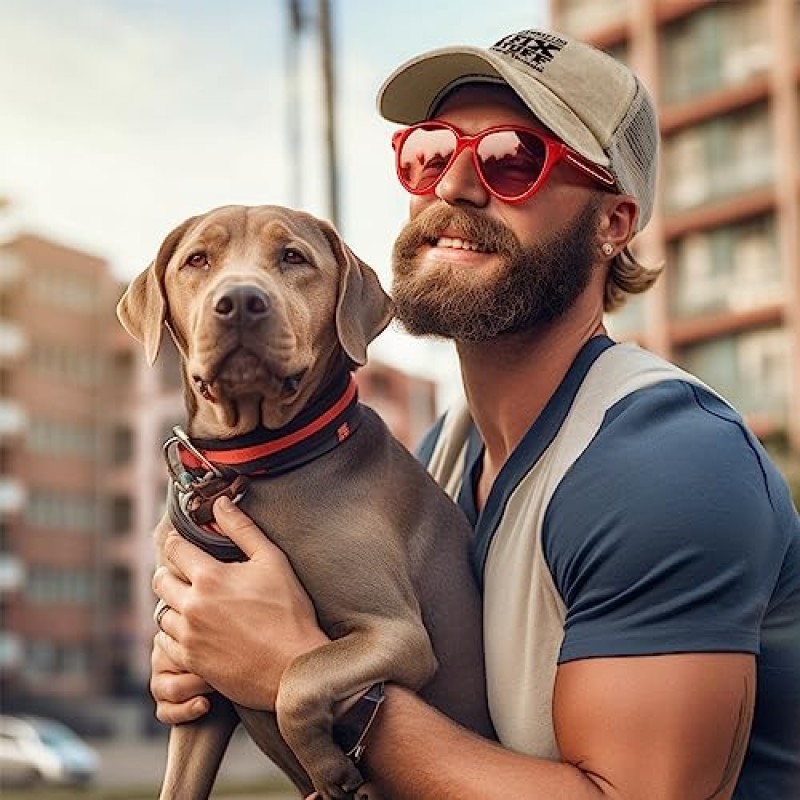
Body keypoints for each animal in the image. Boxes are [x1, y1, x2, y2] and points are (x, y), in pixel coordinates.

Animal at [117, 203, 494, 796]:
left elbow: (297, 678)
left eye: (293, 257)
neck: (255, 467)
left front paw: (328, 766)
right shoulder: (198, 691)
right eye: (197, 259)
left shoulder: (397, 634)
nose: (240, 301)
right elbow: (178, 783)